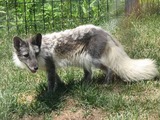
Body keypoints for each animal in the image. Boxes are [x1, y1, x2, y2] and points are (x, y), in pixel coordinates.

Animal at [12, 24, 159, 91]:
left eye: (36, 53)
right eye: (26, 55)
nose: (35, 67)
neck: (43, 49)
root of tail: (102, 31)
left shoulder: (50, 67)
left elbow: (51, 83)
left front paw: (50, 95)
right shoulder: (51, 68)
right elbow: (57, 80)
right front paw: (61, 86)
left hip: (93, 60)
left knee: (109, 69)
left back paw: (106, 84)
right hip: (84, 60)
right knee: (89, 74)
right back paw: (84, 84)